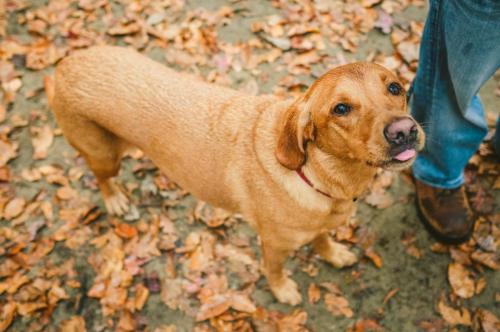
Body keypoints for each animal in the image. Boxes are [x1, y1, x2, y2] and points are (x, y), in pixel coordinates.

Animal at [45, 45, 424, 304]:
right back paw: (115, 200)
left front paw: (333, 253)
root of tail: (65, 63)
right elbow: (274, 270)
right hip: (104, 155)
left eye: (394, 88)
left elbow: (322, 239)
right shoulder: (273, 246)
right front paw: (283, 290)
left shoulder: (320, 224)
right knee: (102, 177)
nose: (404, 132)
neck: (321, 175)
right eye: (341, 109)